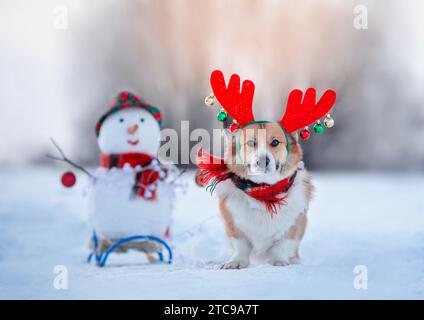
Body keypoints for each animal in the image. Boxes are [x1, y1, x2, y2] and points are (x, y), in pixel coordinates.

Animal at [197, 69, 336, 268]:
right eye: (251, 143)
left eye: (275, 142)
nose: (263, 160)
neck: (264, 191)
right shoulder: (232, 224)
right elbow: (241, 245)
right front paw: (236, 262)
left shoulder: (295, 225)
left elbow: (282, 245)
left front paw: (279, 261)